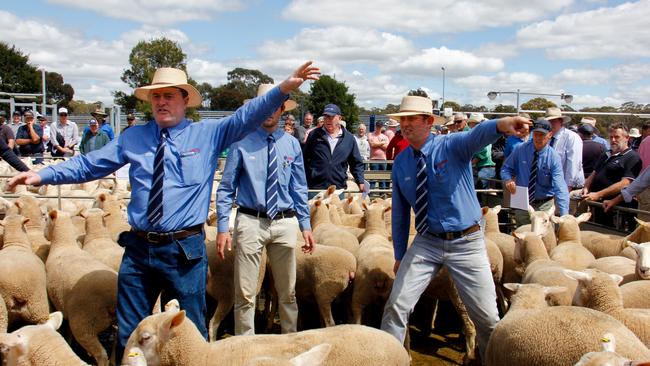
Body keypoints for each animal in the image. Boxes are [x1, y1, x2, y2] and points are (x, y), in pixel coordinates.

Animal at [44, 209, 117, 366]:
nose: (44, 235)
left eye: (45, 219)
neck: (64, 245)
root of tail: (111, 299)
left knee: (101, 354)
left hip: (84, 323)